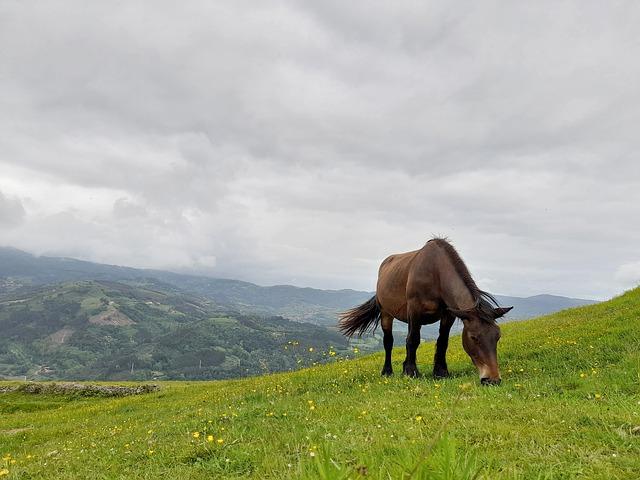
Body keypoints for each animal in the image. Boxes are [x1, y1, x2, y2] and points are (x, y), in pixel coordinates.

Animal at [338, 239, 512, 386]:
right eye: (474, 337)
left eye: (497, 337)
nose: (492, 379)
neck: (436, 273)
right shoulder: (415, 310)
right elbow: (413, 340)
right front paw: (411, 372)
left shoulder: (448, 314)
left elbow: (442, 342)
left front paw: (441, 372)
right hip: (386, 313)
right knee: (389, 342)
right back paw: (387, 371)